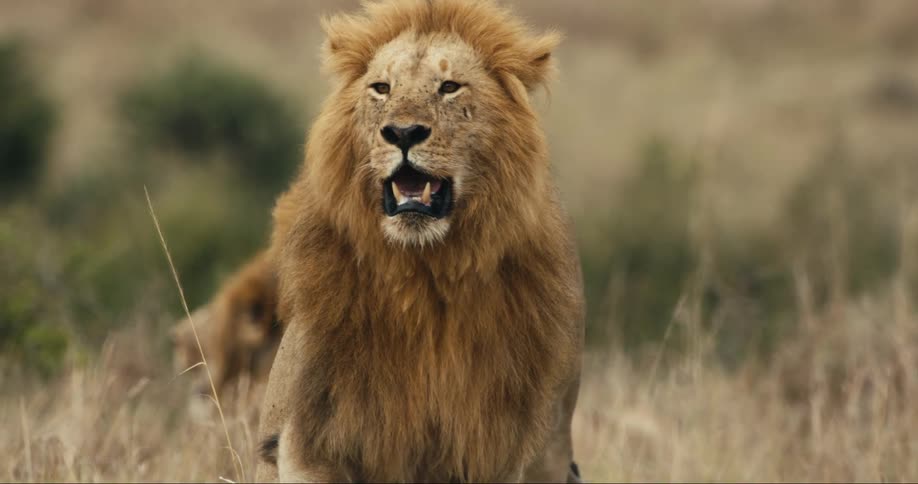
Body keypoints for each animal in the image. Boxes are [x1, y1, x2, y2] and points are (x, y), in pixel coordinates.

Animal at [256, 0, 585, 481]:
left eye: (449, 87)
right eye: (381, 88)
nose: (403, 133)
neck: (426, 273)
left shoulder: (505, 444)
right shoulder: (309, 440)